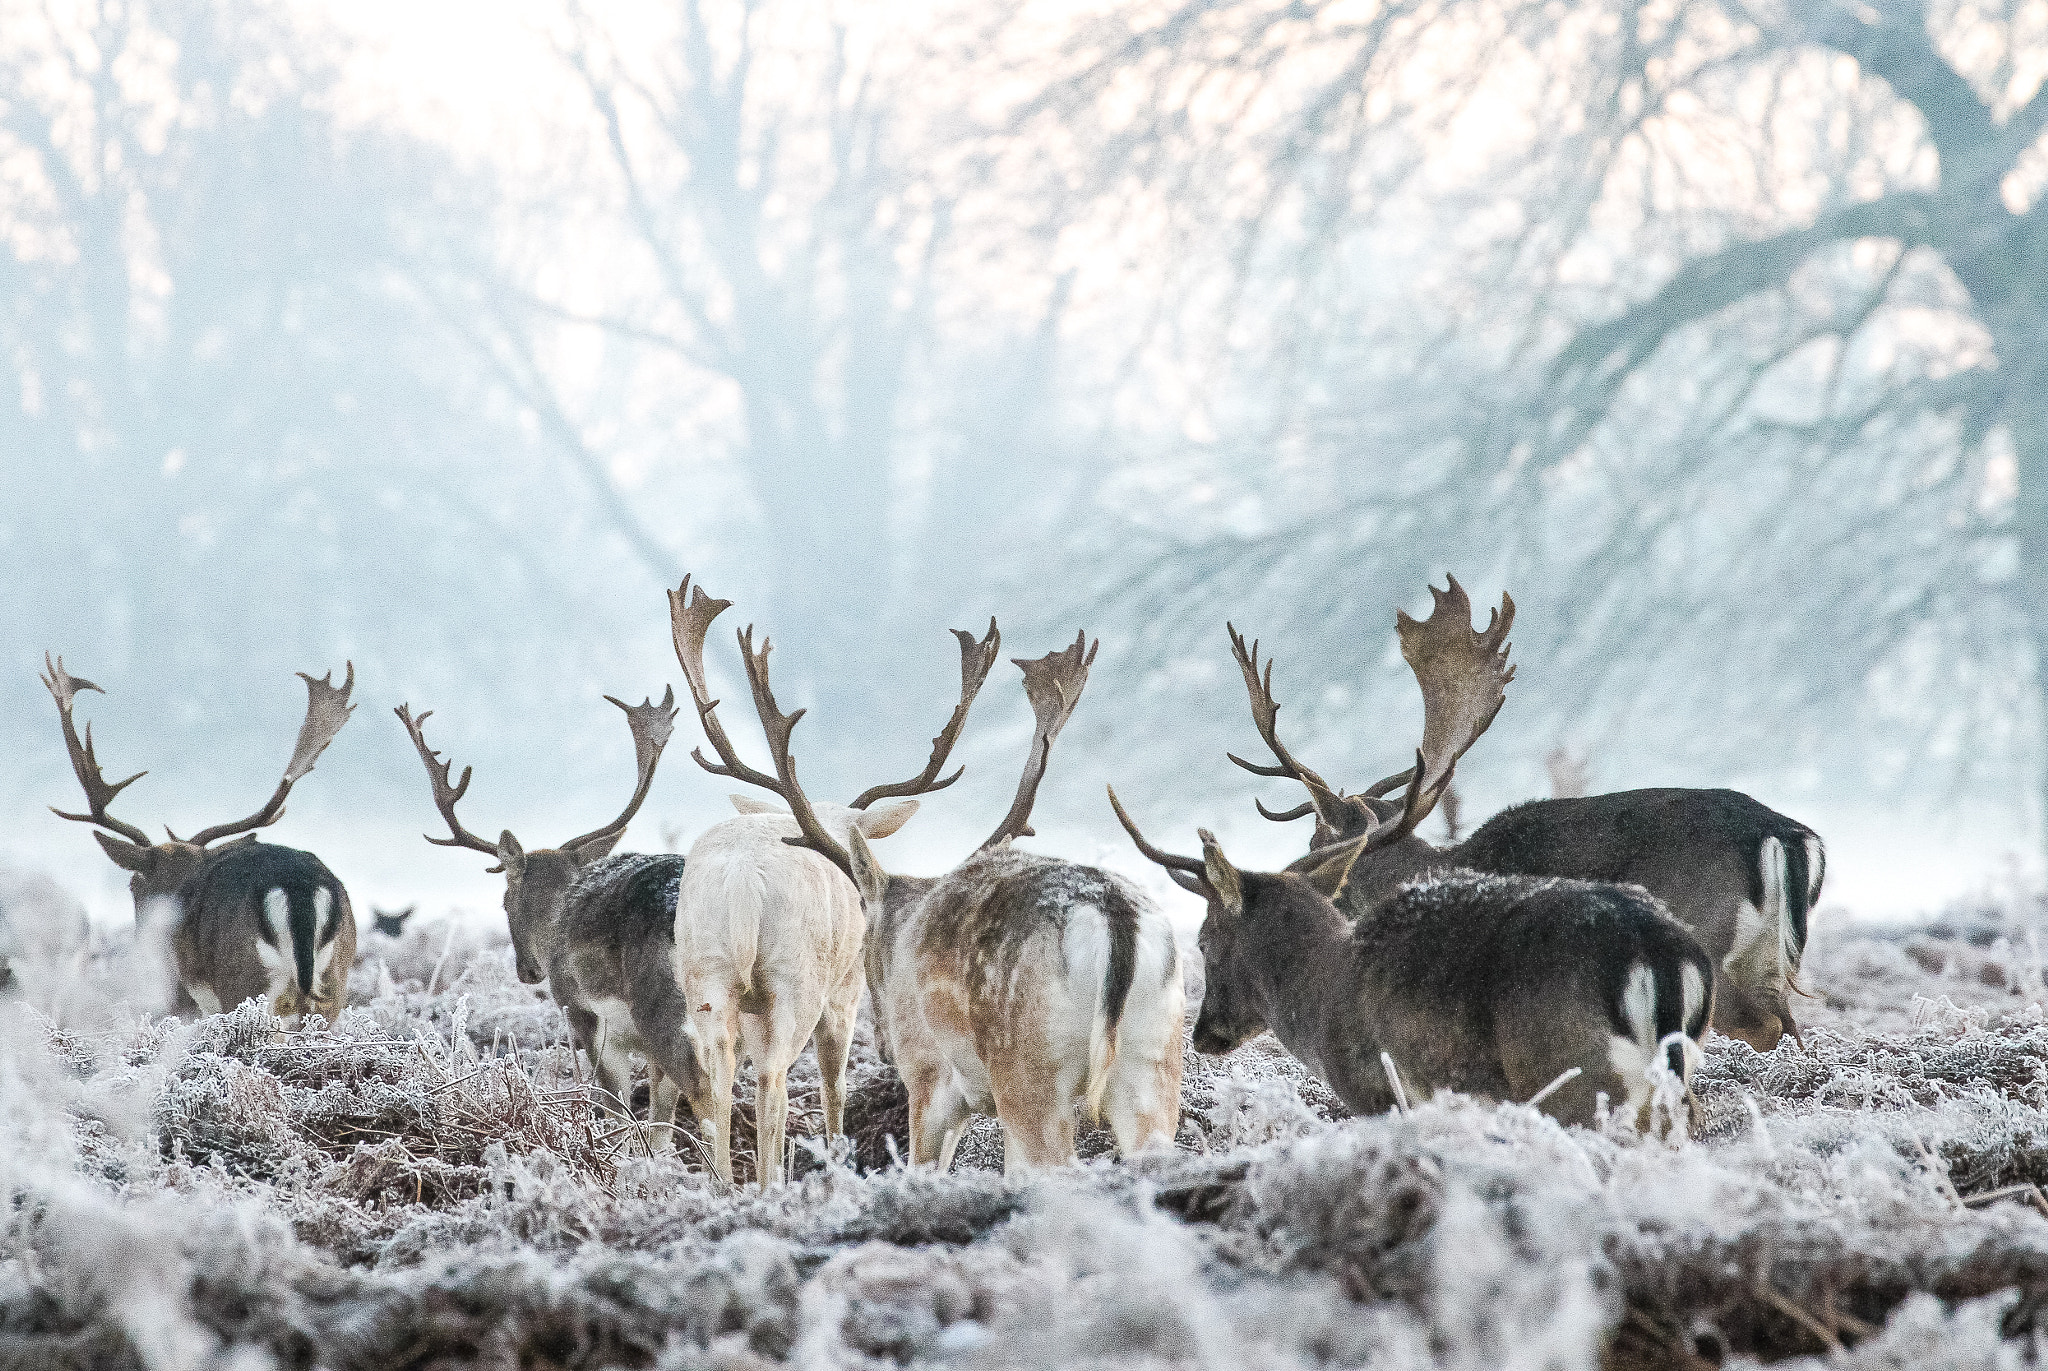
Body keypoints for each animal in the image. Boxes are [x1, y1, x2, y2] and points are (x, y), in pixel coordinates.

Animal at [41, 654, 358, 1022]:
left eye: (133, 885)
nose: (140, 937)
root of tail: (300, 887)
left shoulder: (180, 993)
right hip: (335, 980)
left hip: (243, 978)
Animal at [395, 692, 701, 1137]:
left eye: (505, 902)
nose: (526, 970)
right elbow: (660, 1126)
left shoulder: (586, 1014)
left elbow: (619, 1113)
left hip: (664, 1009)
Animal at [838, 633, 1182, 1174]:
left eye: (861, 939)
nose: (885, 1051)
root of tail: (1113, 917)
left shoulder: (930, 1078)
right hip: (1154, 1061)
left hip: (1028, 1073)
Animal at [1225, 577, 1823, 1052]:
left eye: (1315, 843)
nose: (1293, 886)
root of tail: (1787, 837)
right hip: (1765, 962)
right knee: (1788, 1029)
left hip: (1712, 942)